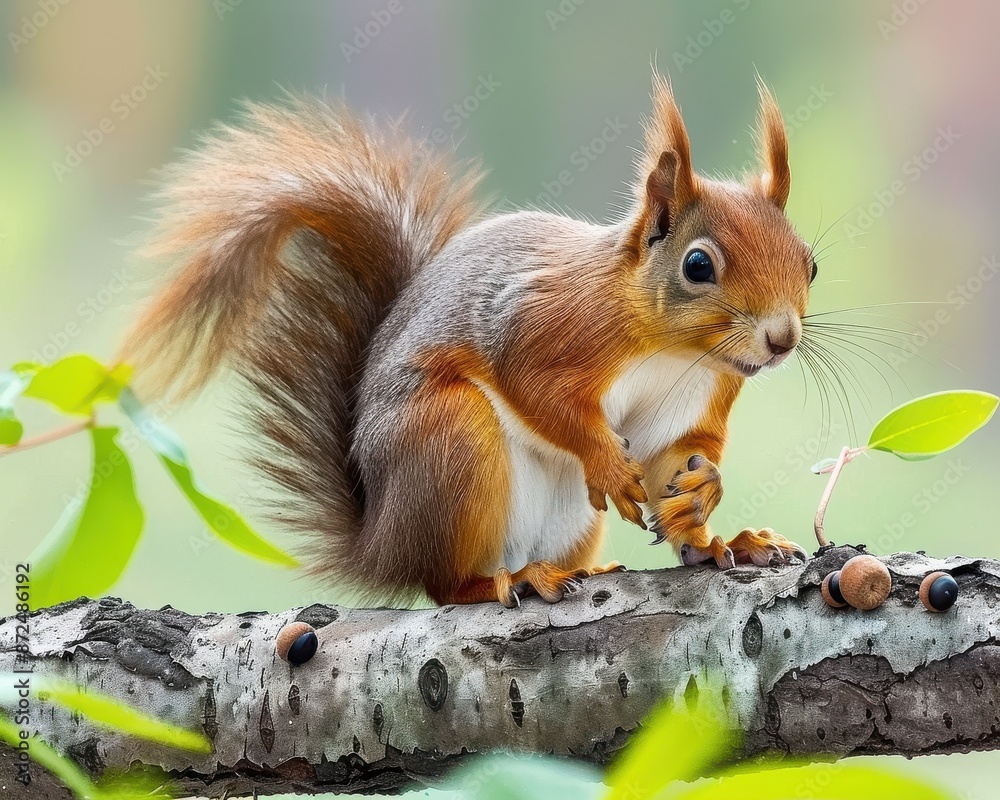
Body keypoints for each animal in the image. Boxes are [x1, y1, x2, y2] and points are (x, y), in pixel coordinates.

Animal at [119, 74, 814, 608]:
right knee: (443, 584)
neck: (673, 351)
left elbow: (678, 452)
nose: (781, 339)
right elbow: (538, 389)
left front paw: (704, 499)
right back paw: (506, 582)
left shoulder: (697, 392)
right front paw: (609, 463)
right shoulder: (546, 323)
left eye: (809, 263)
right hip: (451, 438)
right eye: (698, 265)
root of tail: (382, 544)